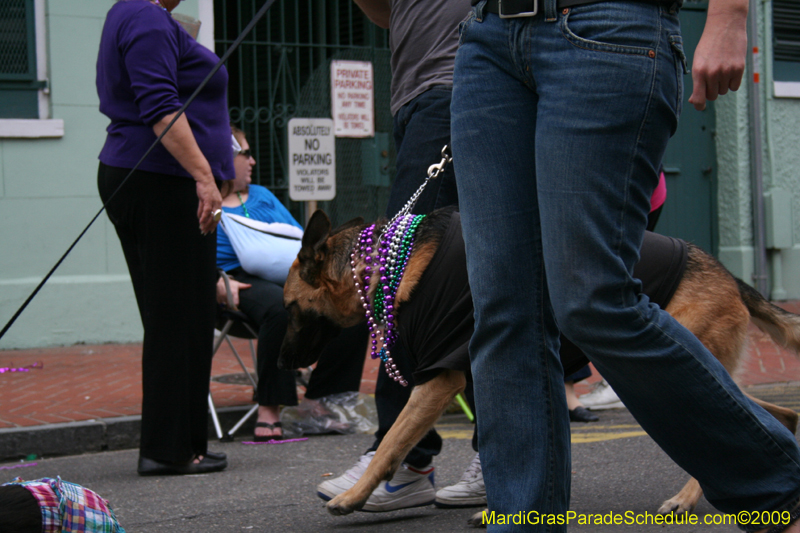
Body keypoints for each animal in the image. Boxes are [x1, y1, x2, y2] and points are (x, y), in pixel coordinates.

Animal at [276, 207, 800, 520]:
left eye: (289, 308)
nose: (281, 365)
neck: (384, 266)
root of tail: (728, 273)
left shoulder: (438, 378)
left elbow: (392, 441)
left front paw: (354, 496)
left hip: (661, 374)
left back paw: (694, 496)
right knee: (772, 412)